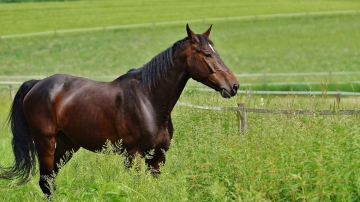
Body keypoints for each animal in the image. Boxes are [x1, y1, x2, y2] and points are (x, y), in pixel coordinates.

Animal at [0, 23, 239, 196]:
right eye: (207, 54)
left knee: (50, 180)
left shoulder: (158, 157)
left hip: (68, 145)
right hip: (45, 143)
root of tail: (38, 84)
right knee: (45, 182)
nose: (234, 86)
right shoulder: (133, 155)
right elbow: (137, 187)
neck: (148, 99)